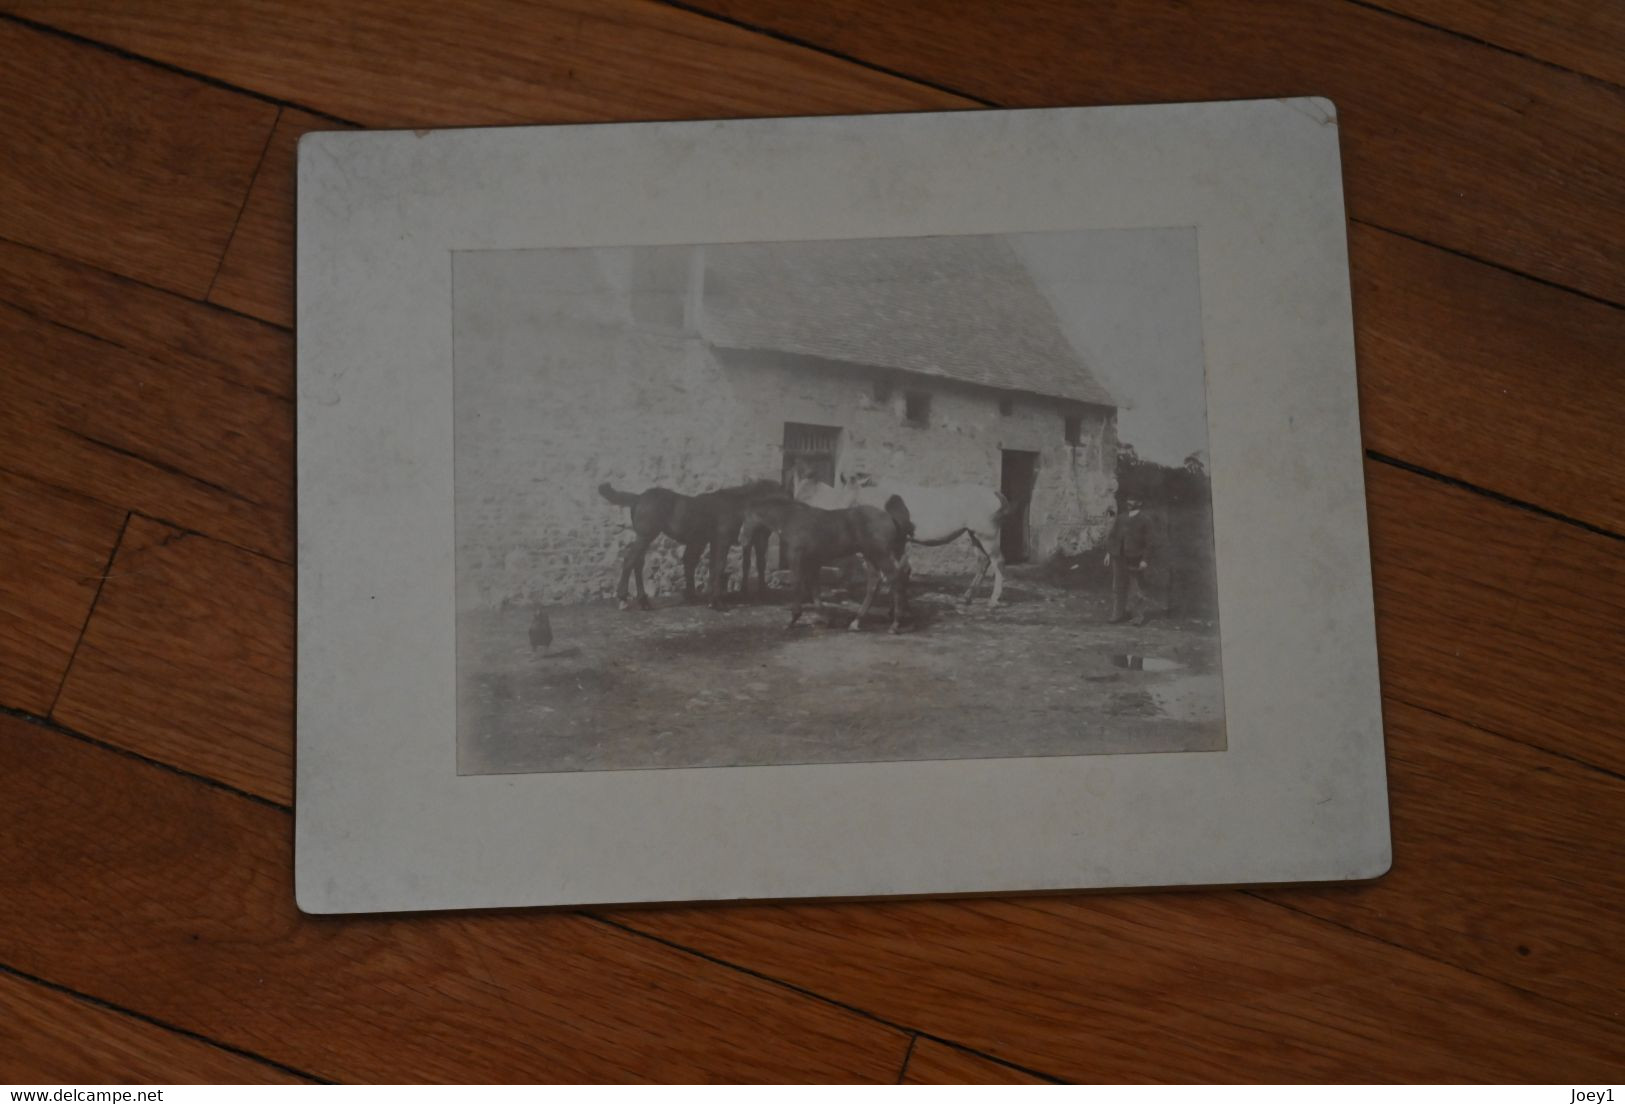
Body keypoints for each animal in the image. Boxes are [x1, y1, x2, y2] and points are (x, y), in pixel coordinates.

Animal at [601, 478, 783, 608]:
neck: (735, 504)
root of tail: (638, 498)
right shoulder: (722, 541)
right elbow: (719, 566)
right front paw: (716, 602)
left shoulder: (714, 541)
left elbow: (713, 567)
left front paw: (711, 599)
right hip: (645, 536)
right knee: (630, 560)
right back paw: (623, 597)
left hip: (645, 537)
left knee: (637, 563)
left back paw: (643, 601)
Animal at [741, 497, 916, 634]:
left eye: (747, 517)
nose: (741, 540)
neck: (790, 519)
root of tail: (890, 517)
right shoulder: (812, 562)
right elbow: (814, 589)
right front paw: (826, 619)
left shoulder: (796, 558)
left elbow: (797, 584)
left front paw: (792, 620)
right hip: (870, 556)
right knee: (875, 583)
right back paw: (856, 622)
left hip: (881, 555)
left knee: (894, 578)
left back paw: (894, 624)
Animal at [793, 465, 1007, 604]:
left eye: (856, 490)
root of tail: (994, 493)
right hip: (974, 534)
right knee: (983, 562)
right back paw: (967, 597)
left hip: (988, 533)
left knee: (998, 561)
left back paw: (994, 600)